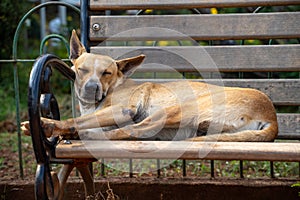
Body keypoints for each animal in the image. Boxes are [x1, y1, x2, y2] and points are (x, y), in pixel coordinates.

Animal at [21, 30, 278, 141]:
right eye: (82, 69)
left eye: (106, 73)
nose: (92, 88)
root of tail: (272, 117)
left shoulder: (122, 110)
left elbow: (76, 121)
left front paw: (53, 125)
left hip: (173, 109)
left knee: (133, 131)